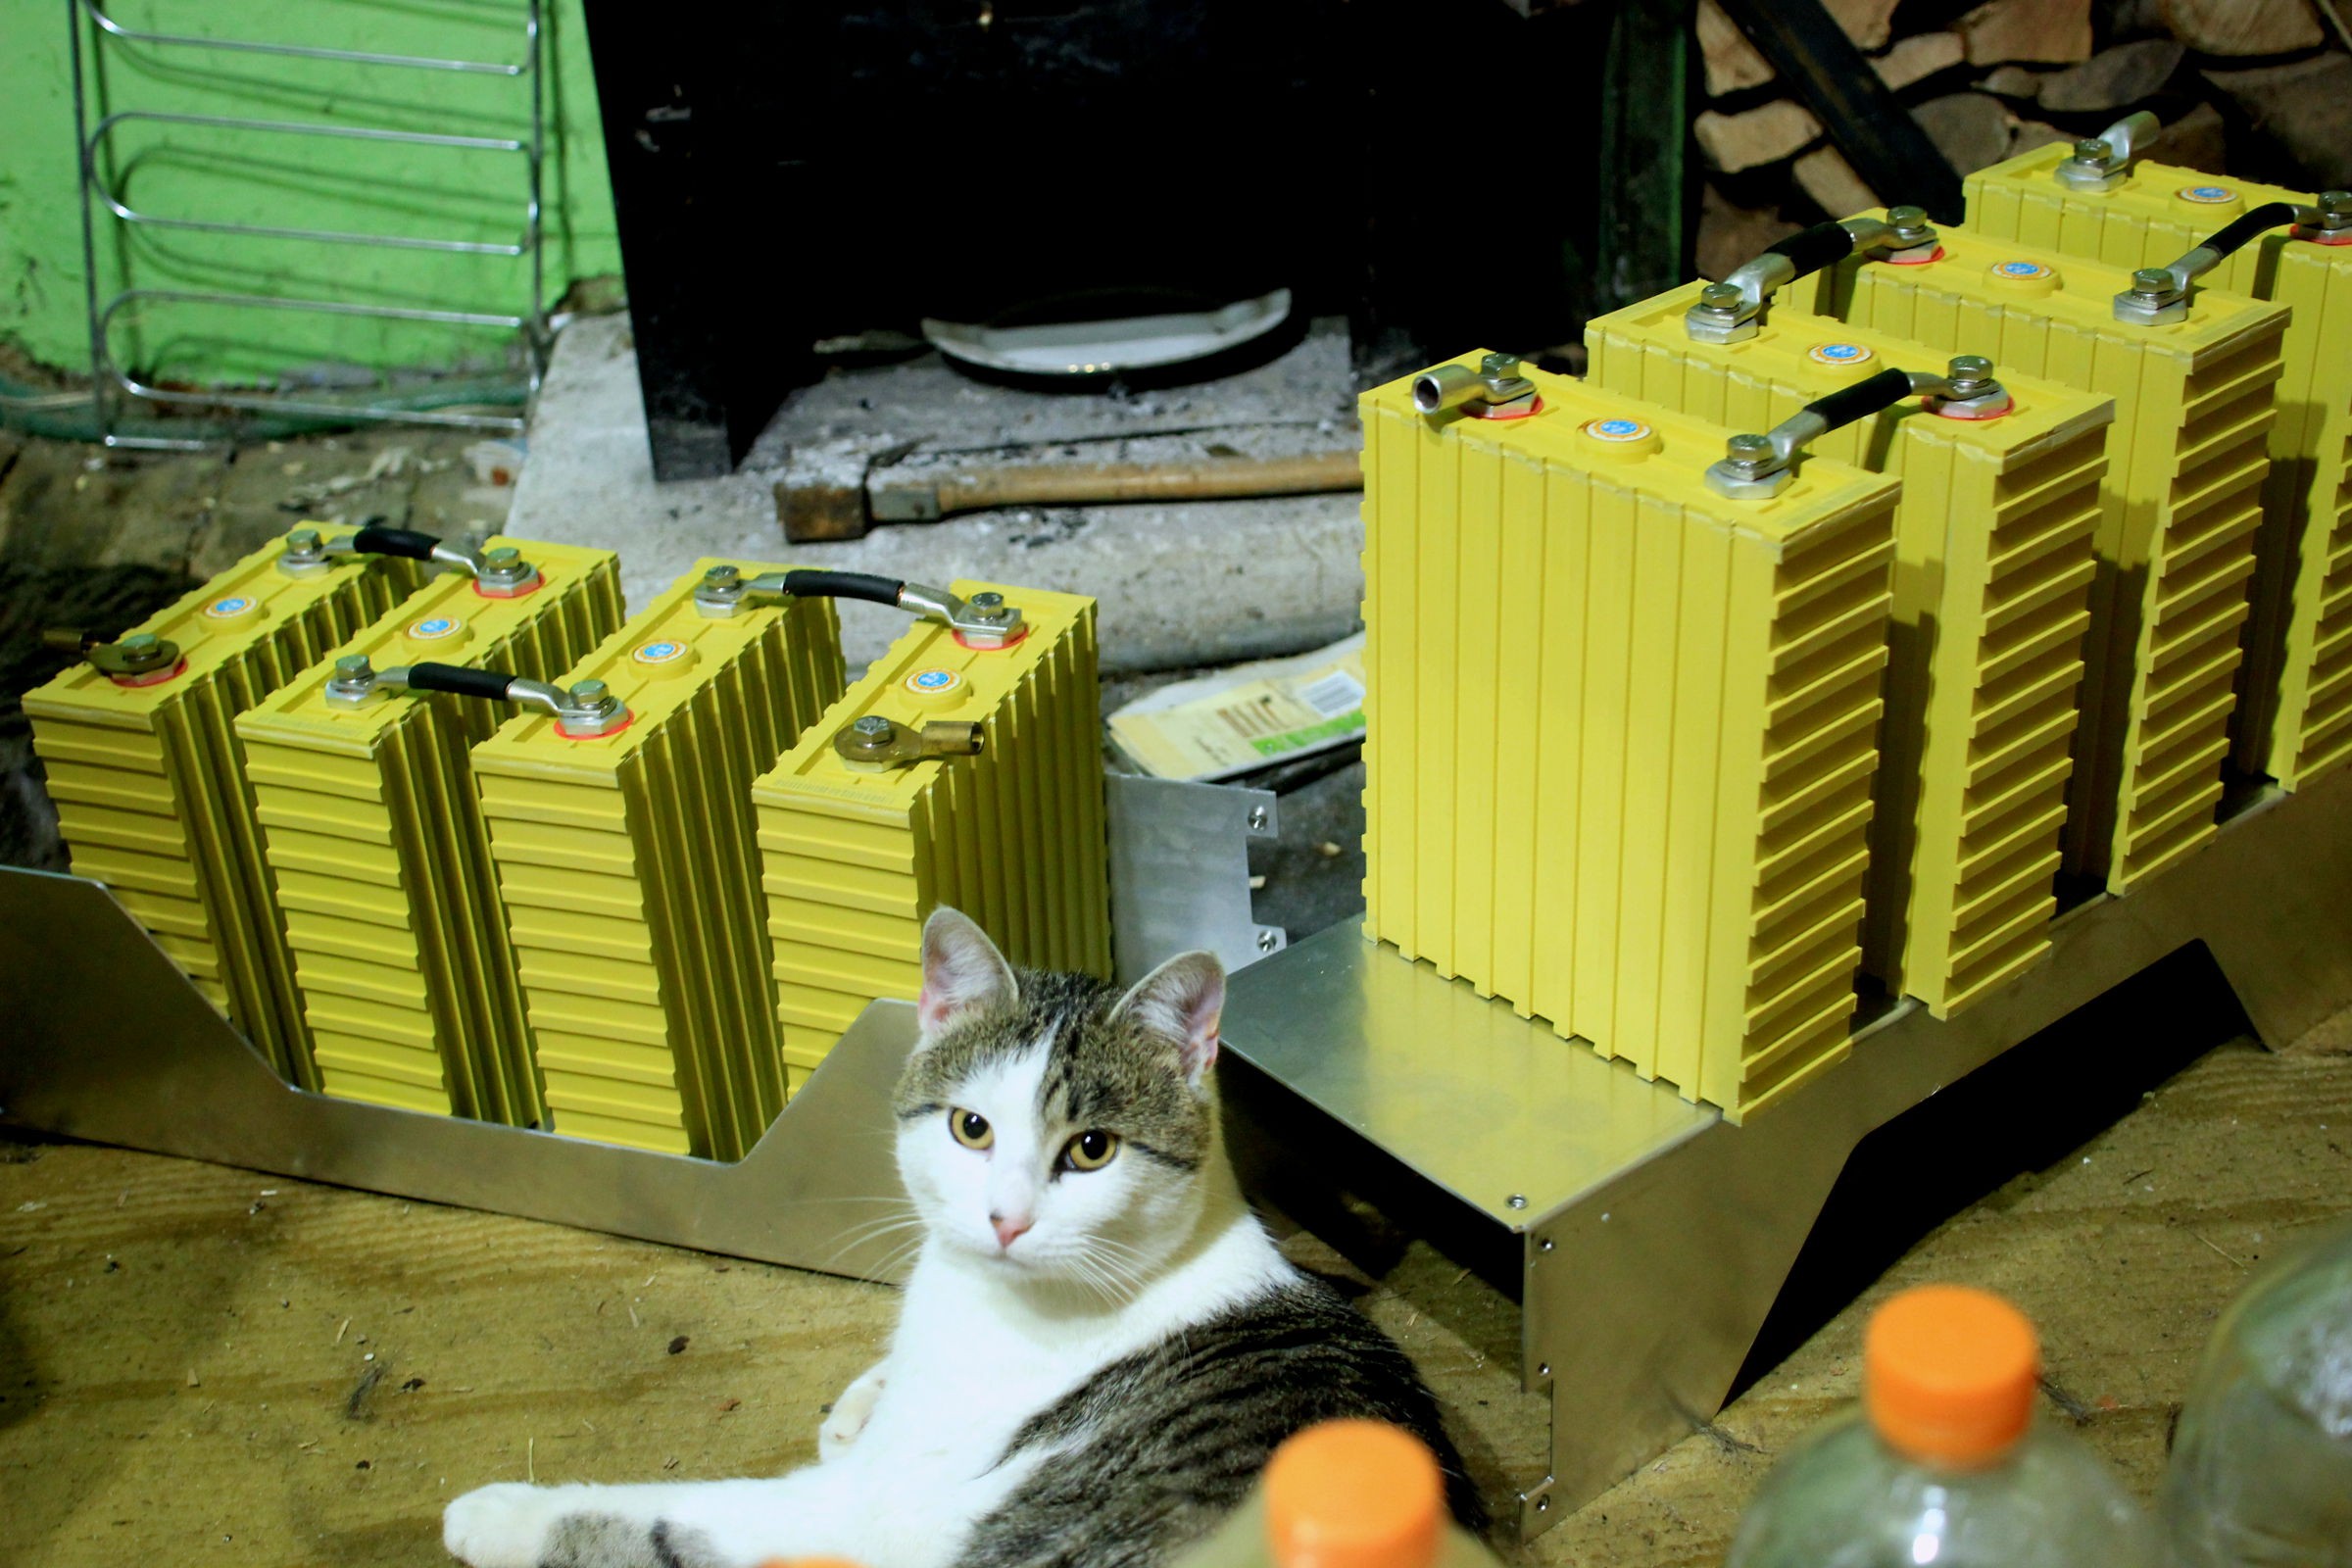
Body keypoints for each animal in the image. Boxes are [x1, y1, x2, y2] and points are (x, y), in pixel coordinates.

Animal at [443, 906, 1483, 1568]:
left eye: (1093, 1149)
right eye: (970, 1128)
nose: (1006, 1219)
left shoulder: (860, 1514)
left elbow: (660, 1517)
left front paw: (498, 1515)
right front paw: (861, 1401)